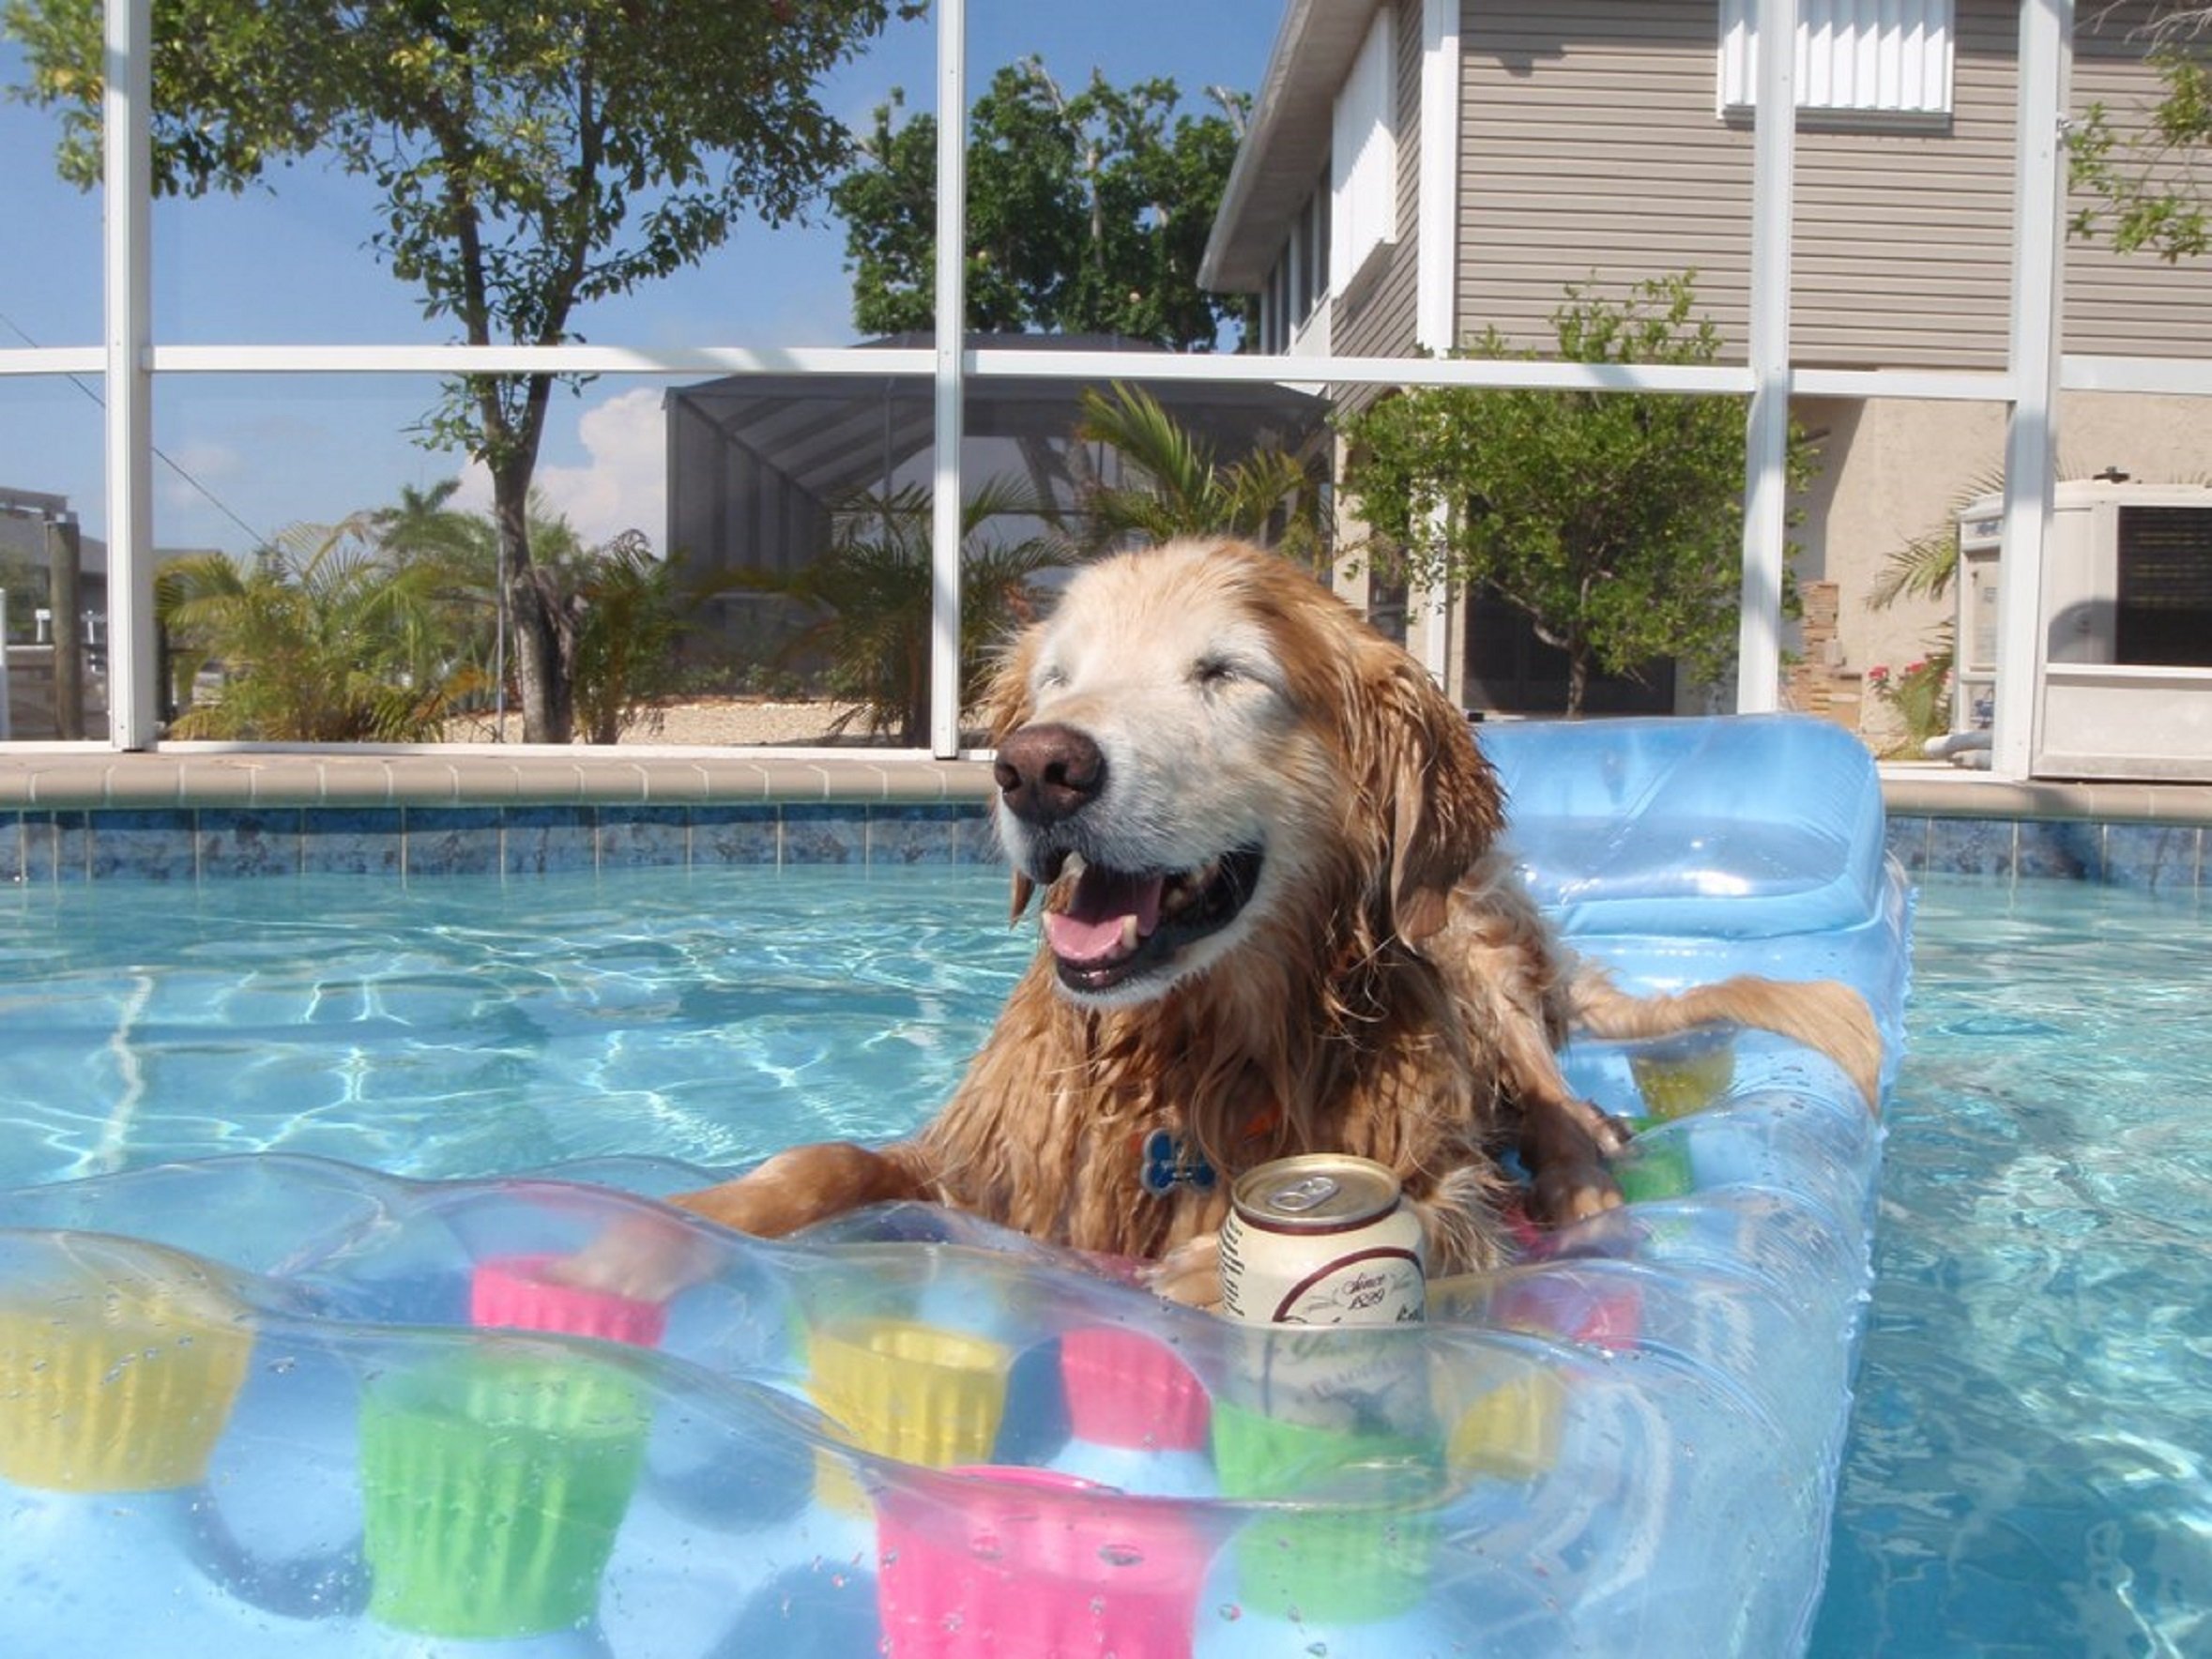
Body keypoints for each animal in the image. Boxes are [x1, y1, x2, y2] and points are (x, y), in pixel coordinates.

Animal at [623, 540, 1884, 1309]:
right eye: (1057, 679)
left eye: (1224, 673)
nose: (1034, 768)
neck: (1192, 1049)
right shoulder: (982, 1161)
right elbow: (828, 1159)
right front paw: (677, 1218)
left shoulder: (1421, 1161)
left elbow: (1420, 1212)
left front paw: (1206, 1273)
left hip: (1474, 954)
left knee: (1551, 1104)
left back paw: (1585, 1184)